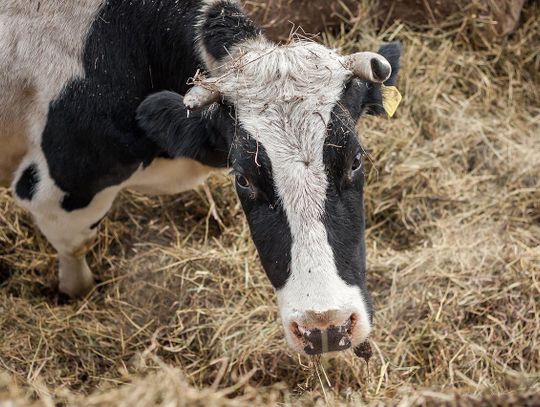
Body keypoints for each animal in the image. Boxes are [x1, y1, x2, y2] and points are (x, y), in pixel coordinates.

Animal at [1, 0, 400, 356]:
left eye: (355, 161)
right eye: (243, 179)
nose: (326, 327)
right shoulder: (57, 190)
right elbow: (75, 249)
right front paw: (75, 294)